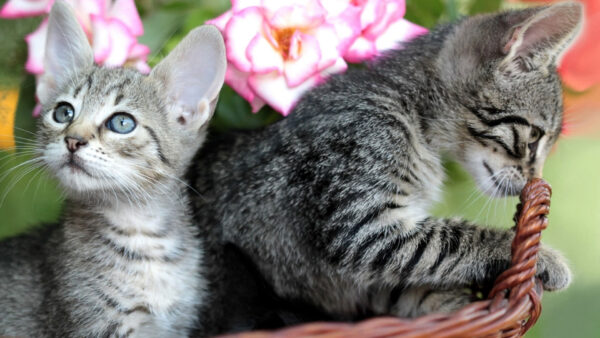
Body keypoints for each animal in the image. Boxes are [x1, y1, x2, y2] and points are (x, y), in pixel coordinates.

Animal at [191, 1, 580, 324]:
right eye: (534, 138)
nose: (534, 179)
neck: (409, 110)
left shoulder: (373, 271)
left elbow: (409, 285)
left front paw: (457, 307)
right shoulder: (362, 225)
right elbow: (452, 240)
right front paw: (543, 257)